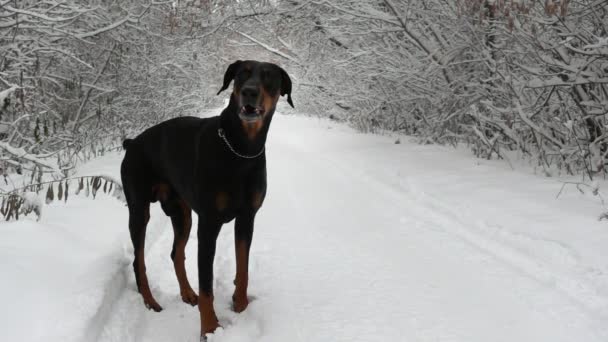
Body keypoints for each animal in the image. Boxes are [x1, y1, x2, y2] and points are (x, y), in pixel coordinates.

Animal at [120, 60, 294, 338]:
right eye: (242, 73)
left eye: (268, 76)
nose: (250, 92)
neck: (240, 150)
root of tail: (132, 142)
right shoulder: (209, 223)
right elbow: (207, 286)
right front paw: (210, 329)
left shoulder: (247, 218)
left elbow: (243, 269)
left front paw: (241, 307)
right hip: (139, 210)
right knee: (139, 261)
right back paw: (151, 301)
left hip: (181, 213)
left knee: (175, 253)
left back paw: (187, 293)